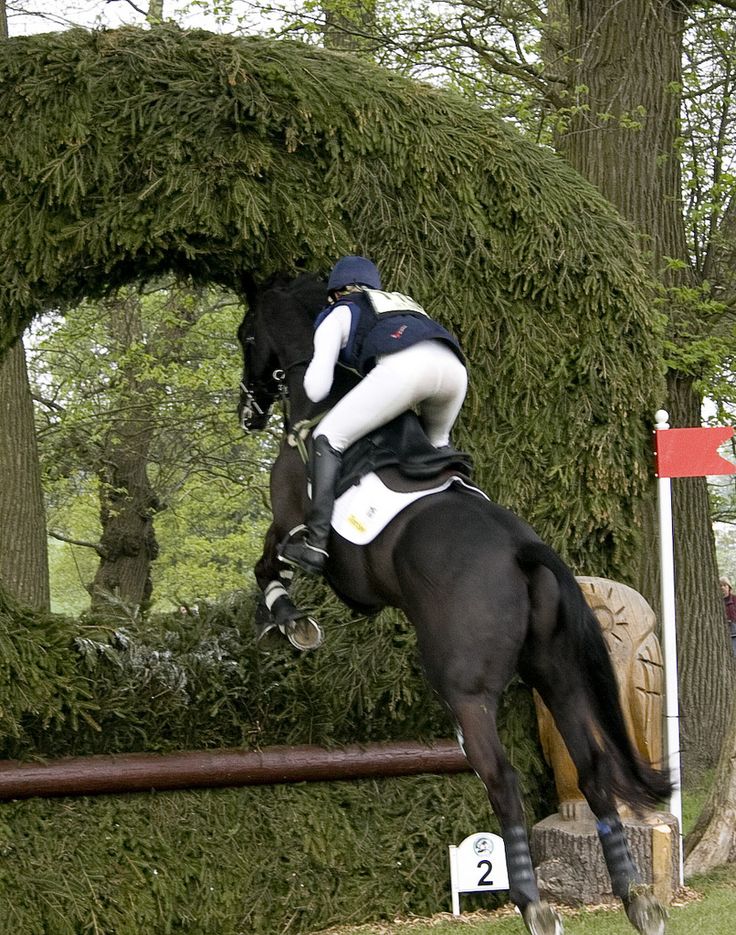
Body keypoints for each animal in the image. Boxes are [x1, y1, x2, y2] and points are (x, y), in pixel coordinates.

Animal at [237, 272, 672, 935]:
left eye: (245, 335)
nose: (247, 411)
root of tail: (522, 548)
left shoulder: (290, 520)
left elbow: (271, 563)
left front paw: (286, 620)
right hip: (558, 676)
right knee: (594, 771)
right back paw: (635, 897)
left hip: (465, 688)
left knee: (503, 778)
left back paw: (534, 903)